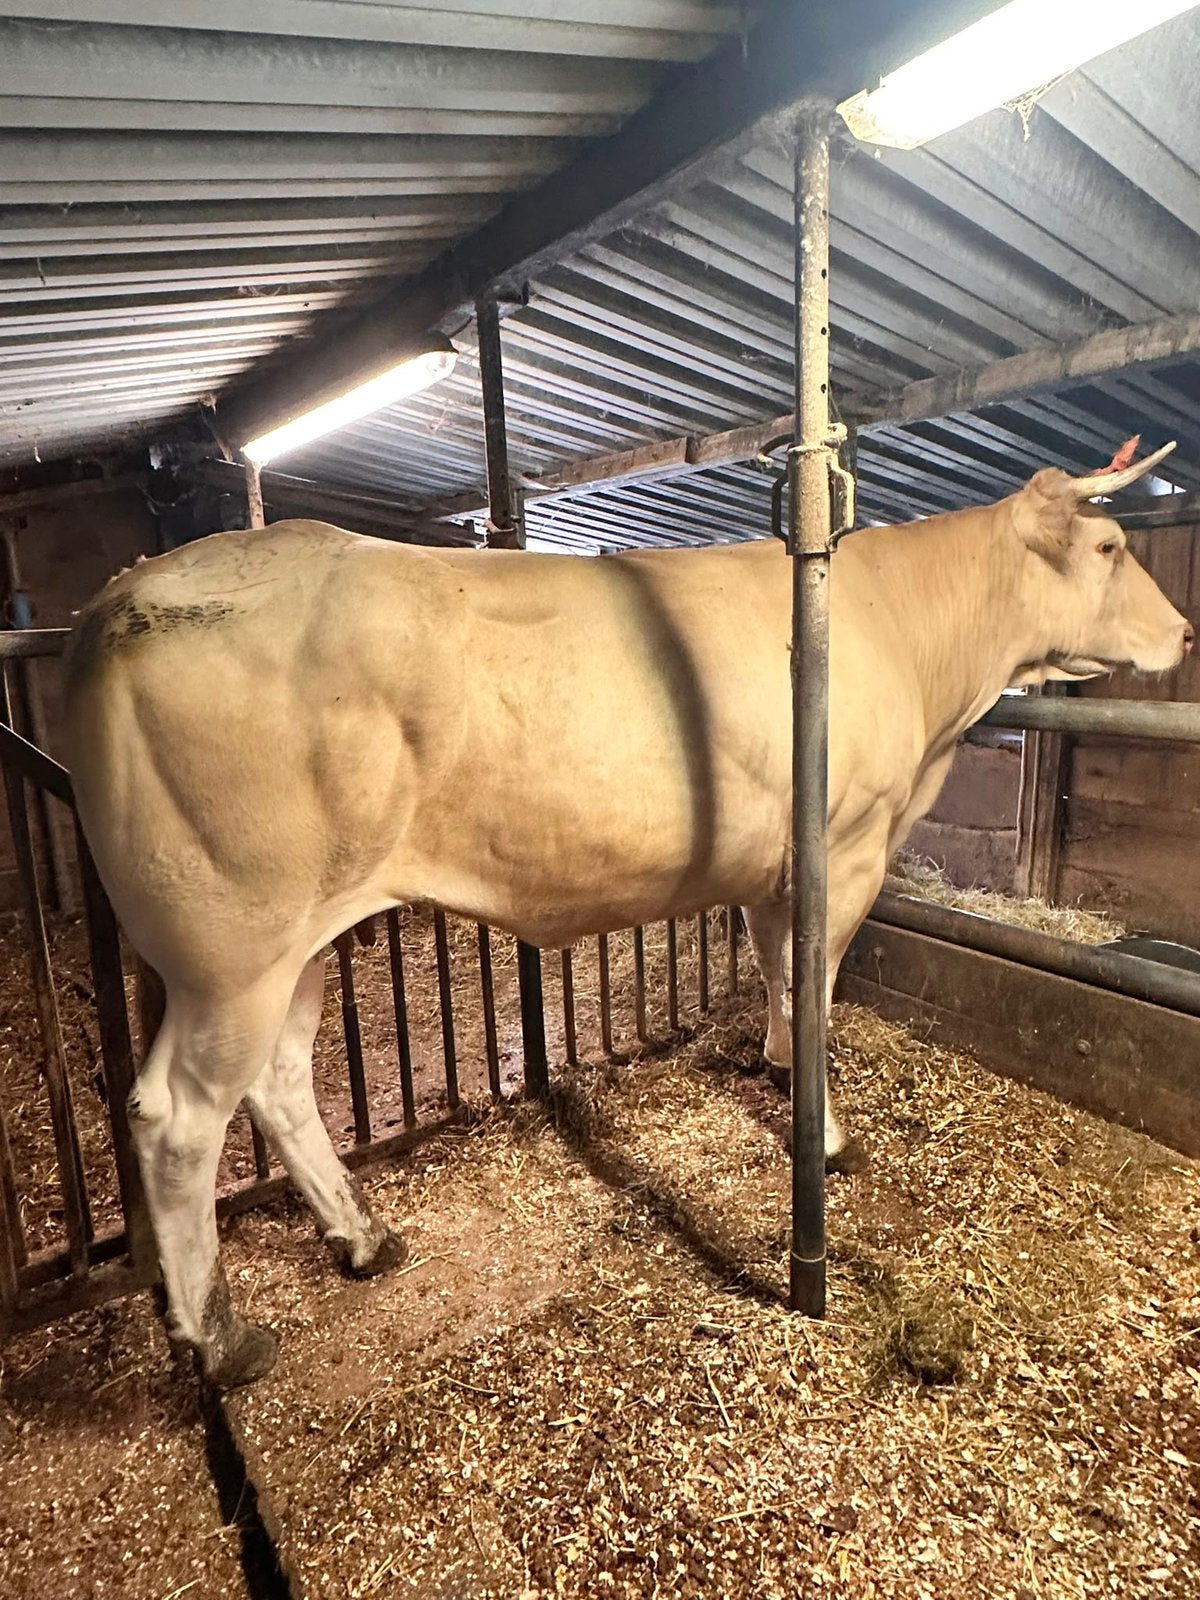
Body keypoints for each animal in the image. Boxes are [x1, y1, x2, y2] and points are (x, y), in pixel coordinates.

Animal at [62, 439, 1192, 1387]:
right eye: (1110, 546)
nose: (1184, 631)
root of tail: (117, 598)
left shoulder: (777, 865)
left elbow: (780, 970)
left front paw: (778, 1068)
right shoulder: (850, 843)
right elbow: (819, 985)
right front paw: (825, 1137)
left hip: (296, 942)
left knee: (281, 1080)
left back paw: (365, 1239)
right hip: (232, 945)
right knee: (177, 1118)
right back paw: (221, 1338)